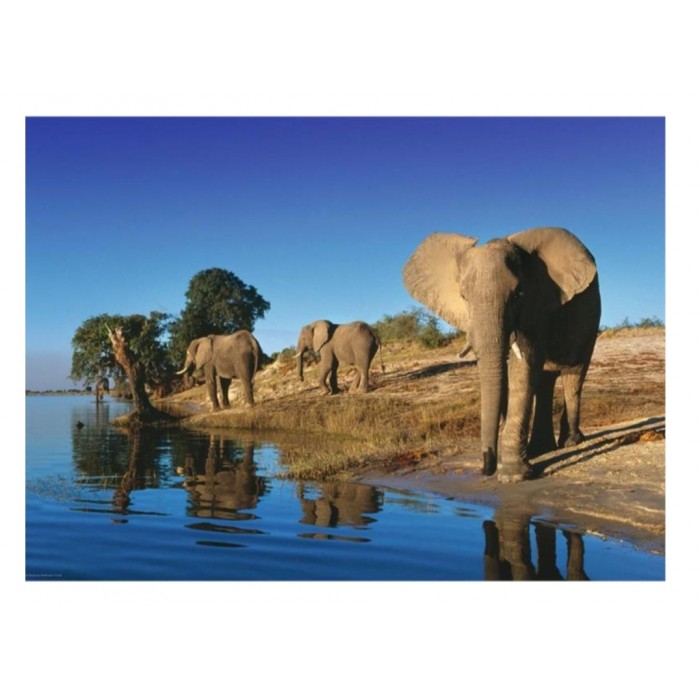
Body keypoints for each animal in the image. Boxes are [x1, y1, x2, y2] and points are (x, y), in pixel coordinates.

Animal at [403, 226, 601, 483]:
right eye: (464, 297)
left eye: (518, 295)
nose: (485, 468)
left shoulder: (536, 305)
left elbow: (522, 369)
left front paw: (513, 477)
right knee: (546, 380)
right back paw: (542, 449)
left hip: (591, 320)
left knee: (573, 374)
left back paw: (571, 443)